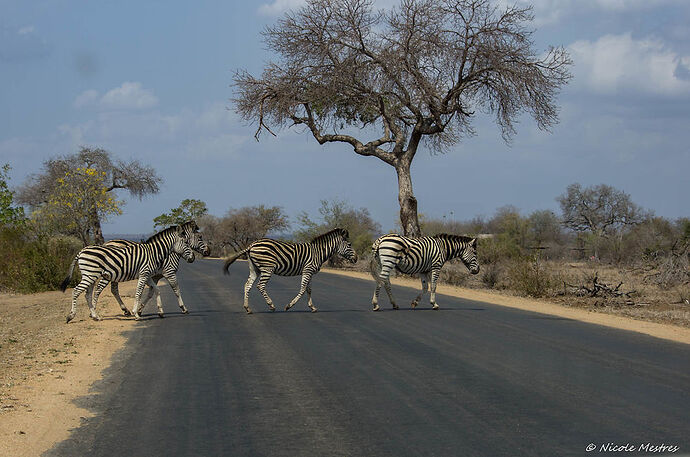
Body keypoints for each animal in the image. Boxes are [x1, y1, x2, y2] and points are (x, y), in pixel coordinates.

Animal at [61, 224, 194, 320]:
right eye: (186, 243)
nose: (192, 258)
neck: (154, 252)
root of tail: (81, 251)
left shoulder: (148, 275)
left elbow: (156, 289)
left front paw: (160, 312)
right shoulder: (144, 273)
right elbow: (139, 293)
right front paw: (136, 313)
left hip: (90, 276)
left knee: (87, 294)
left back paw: (95, 316)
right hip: (90, 275)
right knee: (76, 291)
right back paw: (71, 316)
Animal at [223, 228, 358, 314]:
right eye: (350, 245)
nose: (356, 259)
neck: (318, 253)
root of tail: (252, 245)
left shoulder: (310, 272)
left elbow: (309, 289)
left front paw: (312, 307)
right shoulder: (307, 270)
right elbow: (303, 289)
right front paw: (289, 306)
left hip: (254, 269)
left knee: (248, 285)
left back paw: (247, 308)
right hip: (268, 268)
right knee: (260, 286)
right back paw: (271, 305)